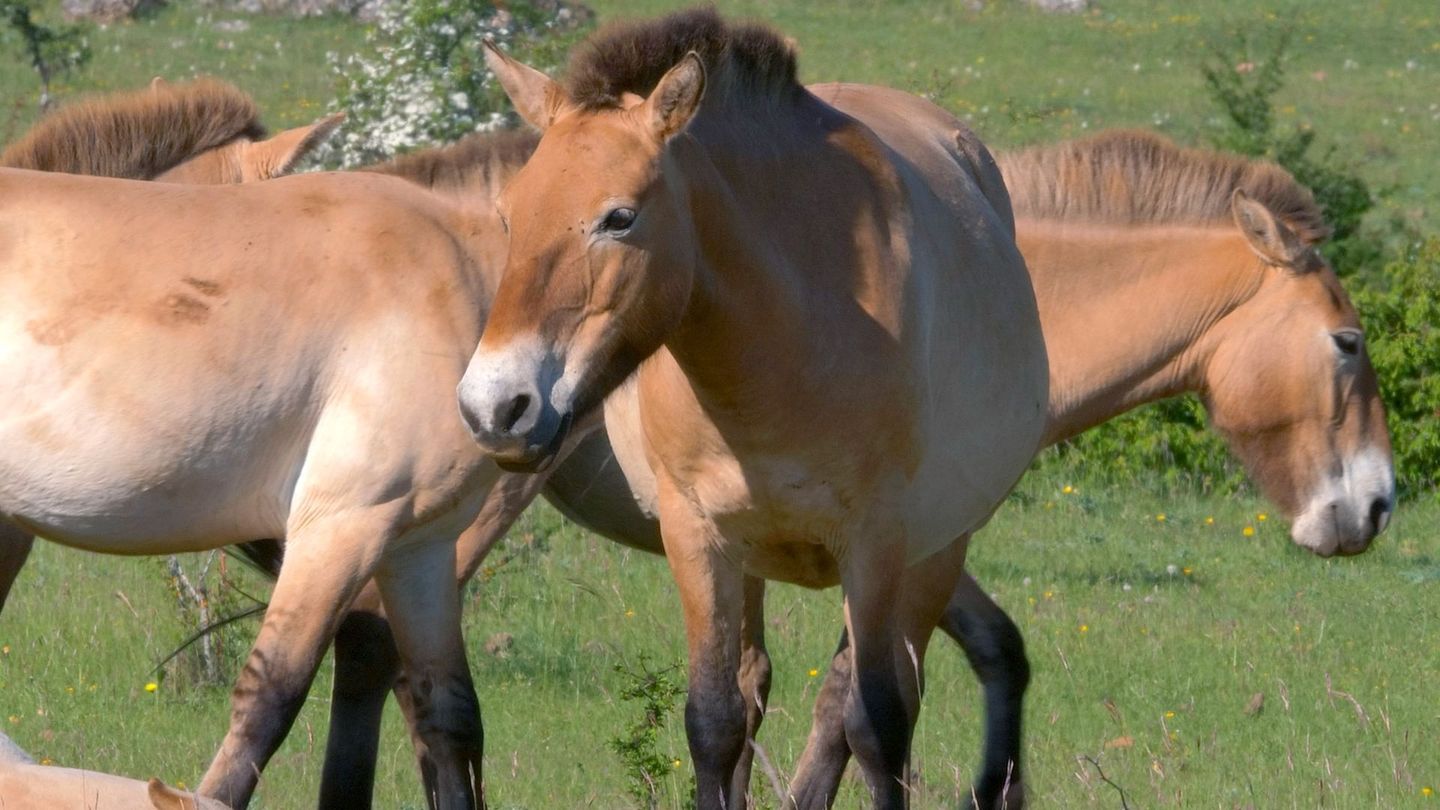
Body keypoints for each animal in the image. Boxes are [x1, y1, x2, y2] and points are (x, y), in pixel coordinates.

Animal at [460, 9, 1048, 801]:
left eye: (619, 218)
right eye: (508, 216)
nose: (496, 406)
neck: (789, 340)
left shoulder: (876, 544)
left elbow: (877, 724)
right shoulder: (696, 536)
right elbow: (715, 721)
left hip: (934, 554)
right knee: (752, 690)